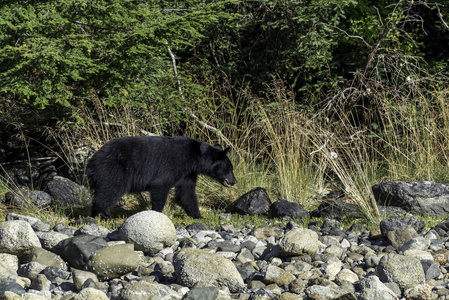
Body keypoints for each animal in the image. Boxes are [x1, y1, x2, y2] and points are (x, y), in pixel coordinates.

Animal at [85, 135, 236, 218]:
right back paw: (104, 214)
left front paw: (198, 215)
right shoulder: (174, 164)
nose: (234, 181)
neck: (195, 158)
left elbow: (187, 193)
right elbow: (161, 185)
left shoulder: (188, 173)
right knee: (111, 189)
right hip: (115, 169)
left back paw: (95, 216)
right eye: (229, 168)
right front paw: (157, 212)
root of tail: (92, 161)